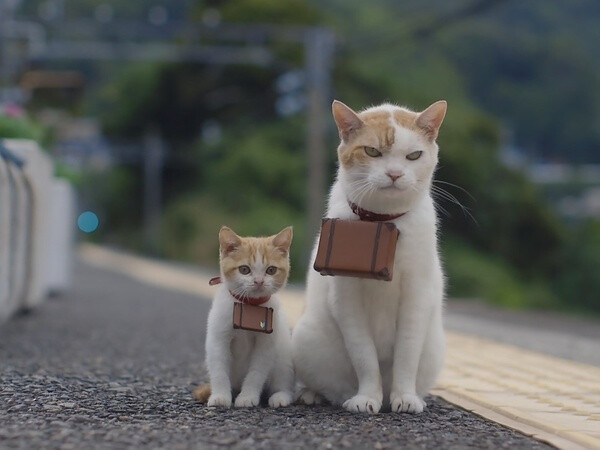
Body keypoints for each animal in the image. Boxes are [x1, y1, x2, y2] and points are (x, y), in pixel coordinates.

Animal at [197, 227, 296, 406]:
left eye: (271, 270)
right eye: (244, 269)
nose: (259, 281)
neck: (250, 305)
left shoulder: (266, 345)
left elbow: (256, 373)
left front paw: (247, 397)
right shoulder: (218, 339)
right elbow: (219, 370)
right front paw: (220, 396)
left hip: (283, 356)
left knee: (284, 381)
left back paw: (280, 396)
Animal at [290, 99, 446, 414]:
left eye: (413, 155)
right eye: (372, 151)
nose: (395, 174)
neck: (383, 221)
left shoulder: (417, 294)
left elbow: (407, 354)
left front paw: (405, 397)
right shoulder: (347, 298)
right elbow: (364, 356)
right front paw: (366, 398)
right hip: (305, 338)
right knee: (325, 385)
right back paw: (312, 394)